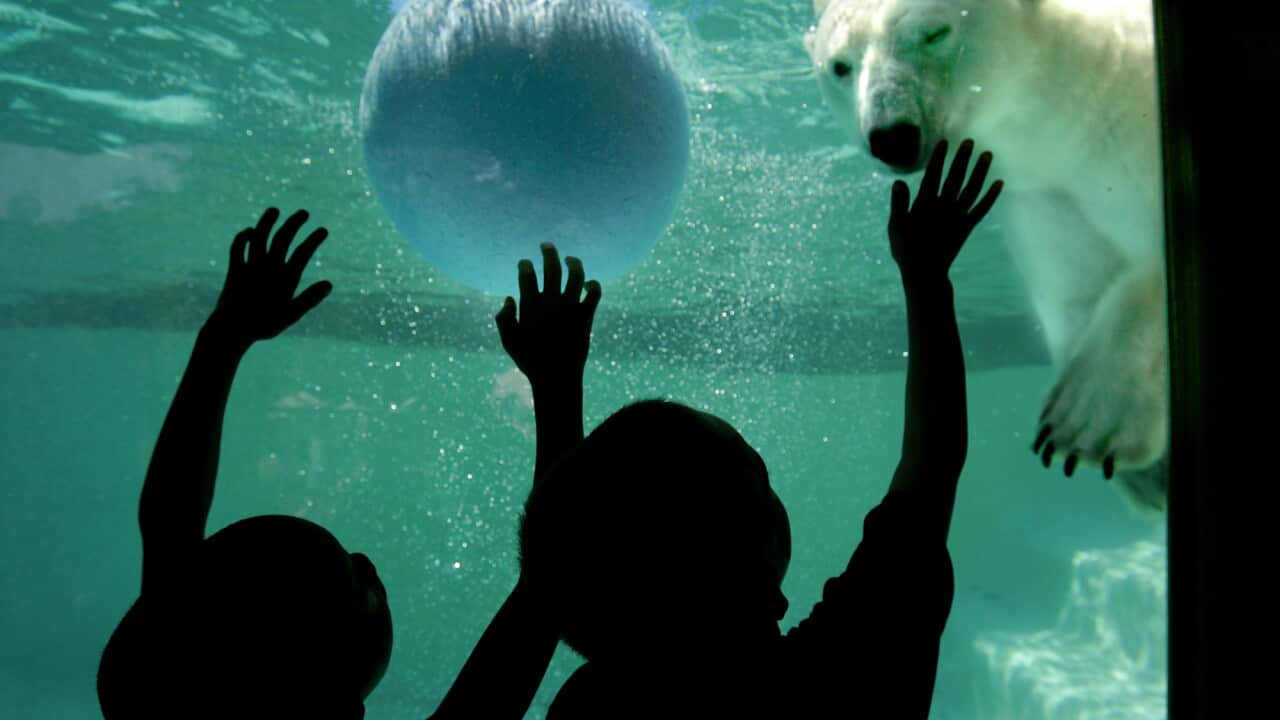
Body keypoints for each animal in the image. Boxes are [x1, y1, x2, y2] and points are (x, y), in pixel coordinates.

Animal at [805, 0, 1168, 511]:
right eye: (840, 65)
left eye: (933, 33)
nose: (892, 136)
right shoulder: (1047, 195)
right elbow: (1077, 285)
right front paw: (1149, 474)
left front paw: (1090, 420)